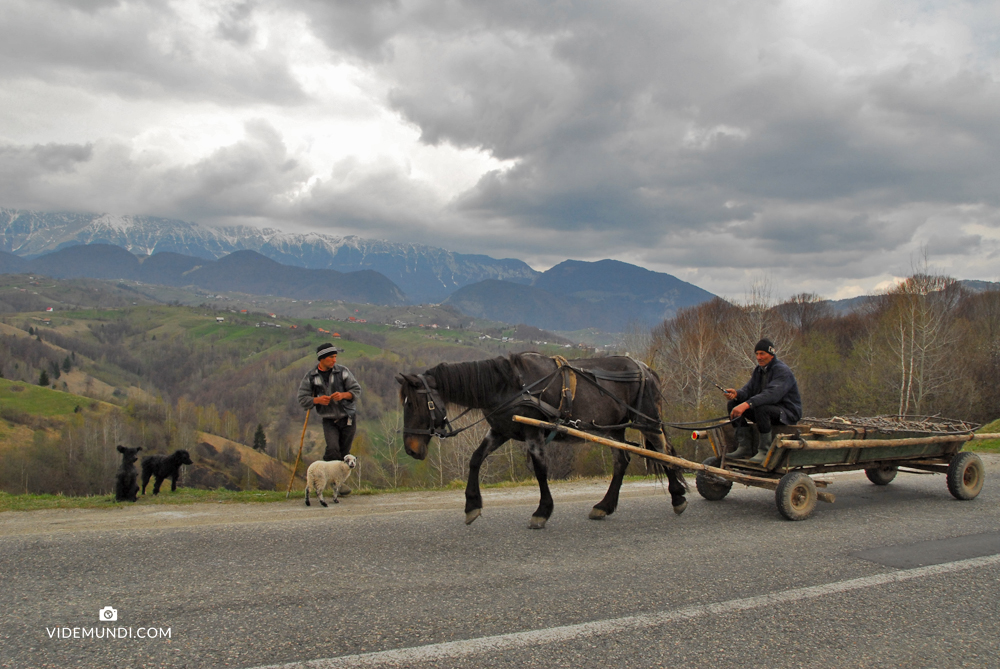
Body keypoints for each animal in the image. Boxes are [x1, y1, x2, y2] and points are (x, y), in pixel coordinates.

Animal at [398, 352, 688, 528]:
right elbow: (475, 459)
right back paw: (604, 506)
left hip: (647, 421)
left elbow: (540, 470)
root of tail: (646, 369)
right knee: (622, 460)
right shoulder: (501, 431)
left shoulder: (533, 432)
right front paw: (472, 505)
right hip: (614, 429)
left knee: (663, 452)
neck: (509, 386)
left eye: (412, 403)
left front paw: (542, 511)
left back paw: (677, 497)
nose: (411, 449)